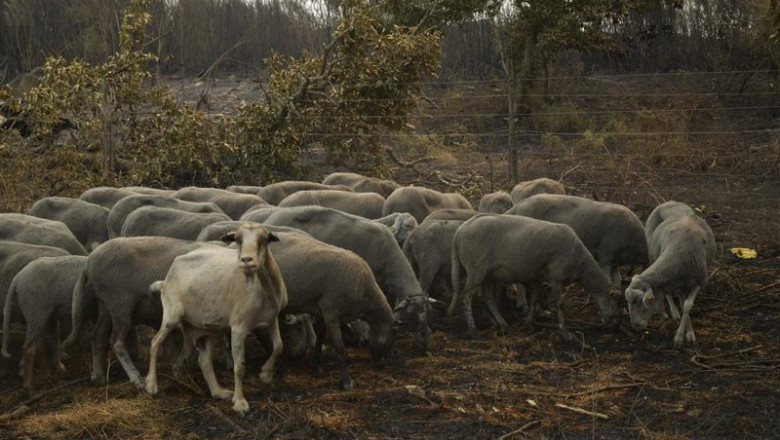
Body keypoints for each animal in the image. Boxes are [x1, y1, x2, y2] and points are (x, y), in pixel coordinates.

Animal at [2, 255, 88, 392]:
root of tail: (18, 277)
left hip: (47, 315)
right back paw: (29, 386)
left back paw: (53, 371)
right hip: (36, 311)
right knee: (29, 347)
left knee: (44, 342)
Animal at [145, 224, 287, 415]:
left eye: (264, 239)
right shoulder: (238, 327)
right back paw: (151, 385)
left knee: (203, 361)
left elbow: (278, 346)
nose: (246, 260)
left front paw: (265, 374)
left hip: (205, 329)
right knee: (155, 342)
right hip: (171, 314)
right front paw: (240, 402)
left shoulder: (272, 318)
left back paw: (218, 392)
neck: (265, 291)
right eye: (238, 240)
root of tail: (165, 280)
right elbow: (239, 366)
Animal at [449, 214, 622, 337]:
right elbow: (559, 303)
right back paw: (472, 329)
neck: (581, 263)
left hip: (489, 274)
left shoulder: (537, 277)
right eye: (615, 302)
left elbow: (534, 300)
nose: (616, 327)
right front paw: (564, 332)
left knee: (488, 299)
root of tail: (460, 230)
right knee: (466, 297)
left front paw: (529, 325)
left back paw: (502, 325)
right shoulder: (556, 276)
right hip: (476, 268)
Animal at [624, 201, 716, 348]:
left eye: (641, 301)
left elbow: (687, 305)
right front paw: (682, 332)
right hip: (653, 253)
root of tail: (668, 202)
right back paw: (671, 312)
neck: (680, 253)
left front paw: (684, 335)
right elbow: (678, 300)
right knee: (667, 292)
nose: (636, 326)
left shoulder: (701, 281)